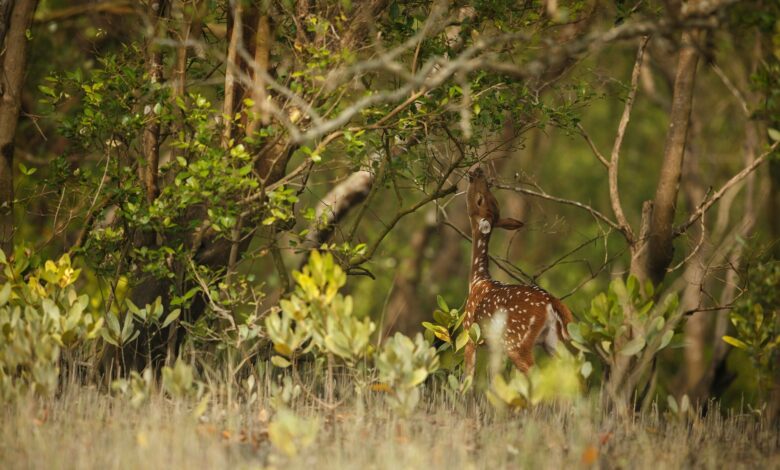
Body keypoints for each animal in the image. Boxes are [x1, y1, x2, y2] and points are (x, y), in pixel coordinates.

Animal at [464, 167, 572, 372]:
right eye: (490, 198)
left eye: (479, 200)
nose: (478, 171)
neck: (477, 281)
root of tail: (552, 304)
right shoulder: (493, 346)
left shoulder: (469, 333)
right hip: (553, 341)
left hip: (516, 342)